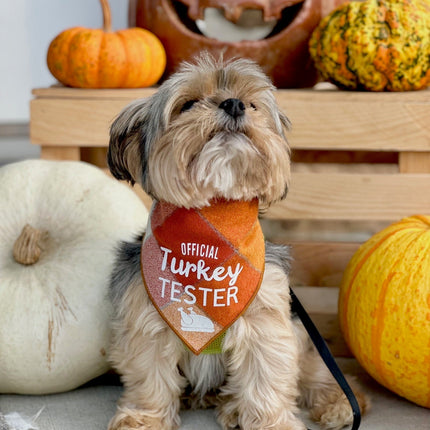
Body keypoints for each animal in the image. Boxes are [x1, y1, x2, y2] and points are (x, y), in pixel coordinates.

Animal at [106, 54, 368, 430]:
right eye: (188, 104)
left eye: (253, 104)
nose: (234, 104)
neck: (214, 225)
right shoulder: (146, 320)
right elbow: (150, 379)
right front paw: (145, 418)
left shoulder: (266, 322)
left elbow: (266, 381)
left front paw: (274, 424)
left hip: (304, 336)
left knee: (320, 375)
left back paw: (338, 404)